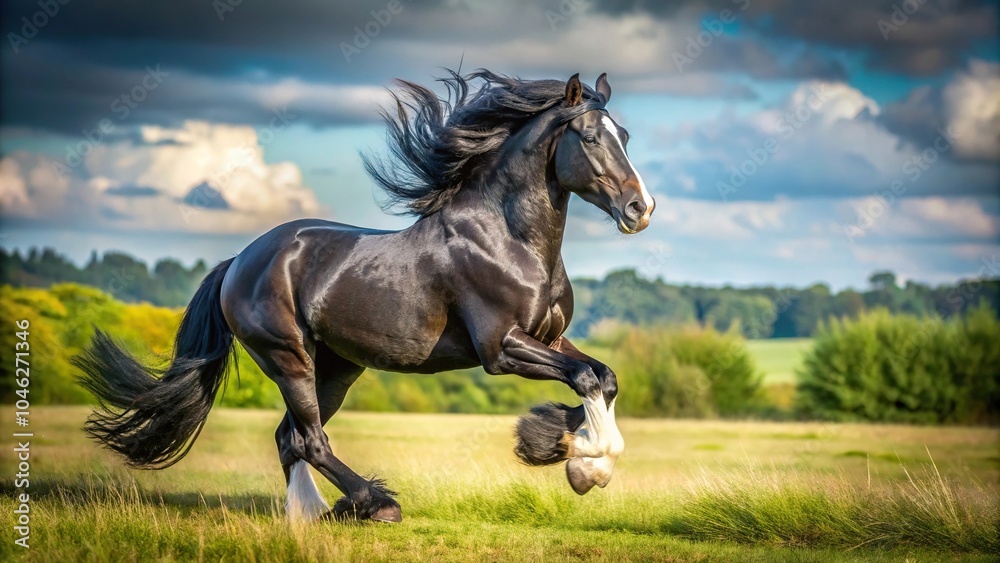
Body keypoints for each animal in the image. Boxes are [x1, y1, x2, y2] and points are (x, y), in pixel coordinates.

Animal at [75, 69, 655, 523]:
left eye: (626, 134)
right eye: (590, 137)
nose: (640, 208)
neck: (506, 238)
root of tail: (239, 261)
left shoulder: (550, 340)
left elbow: (603, 377)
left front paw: (562, 447)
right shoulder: (500, 347)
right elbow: (586, 380)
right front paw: (586, 463)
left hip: (335, 368)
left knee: (290, 438)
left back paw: (311, 515)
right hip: (288, 358)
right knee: (309, 439)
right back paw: (374, 504)